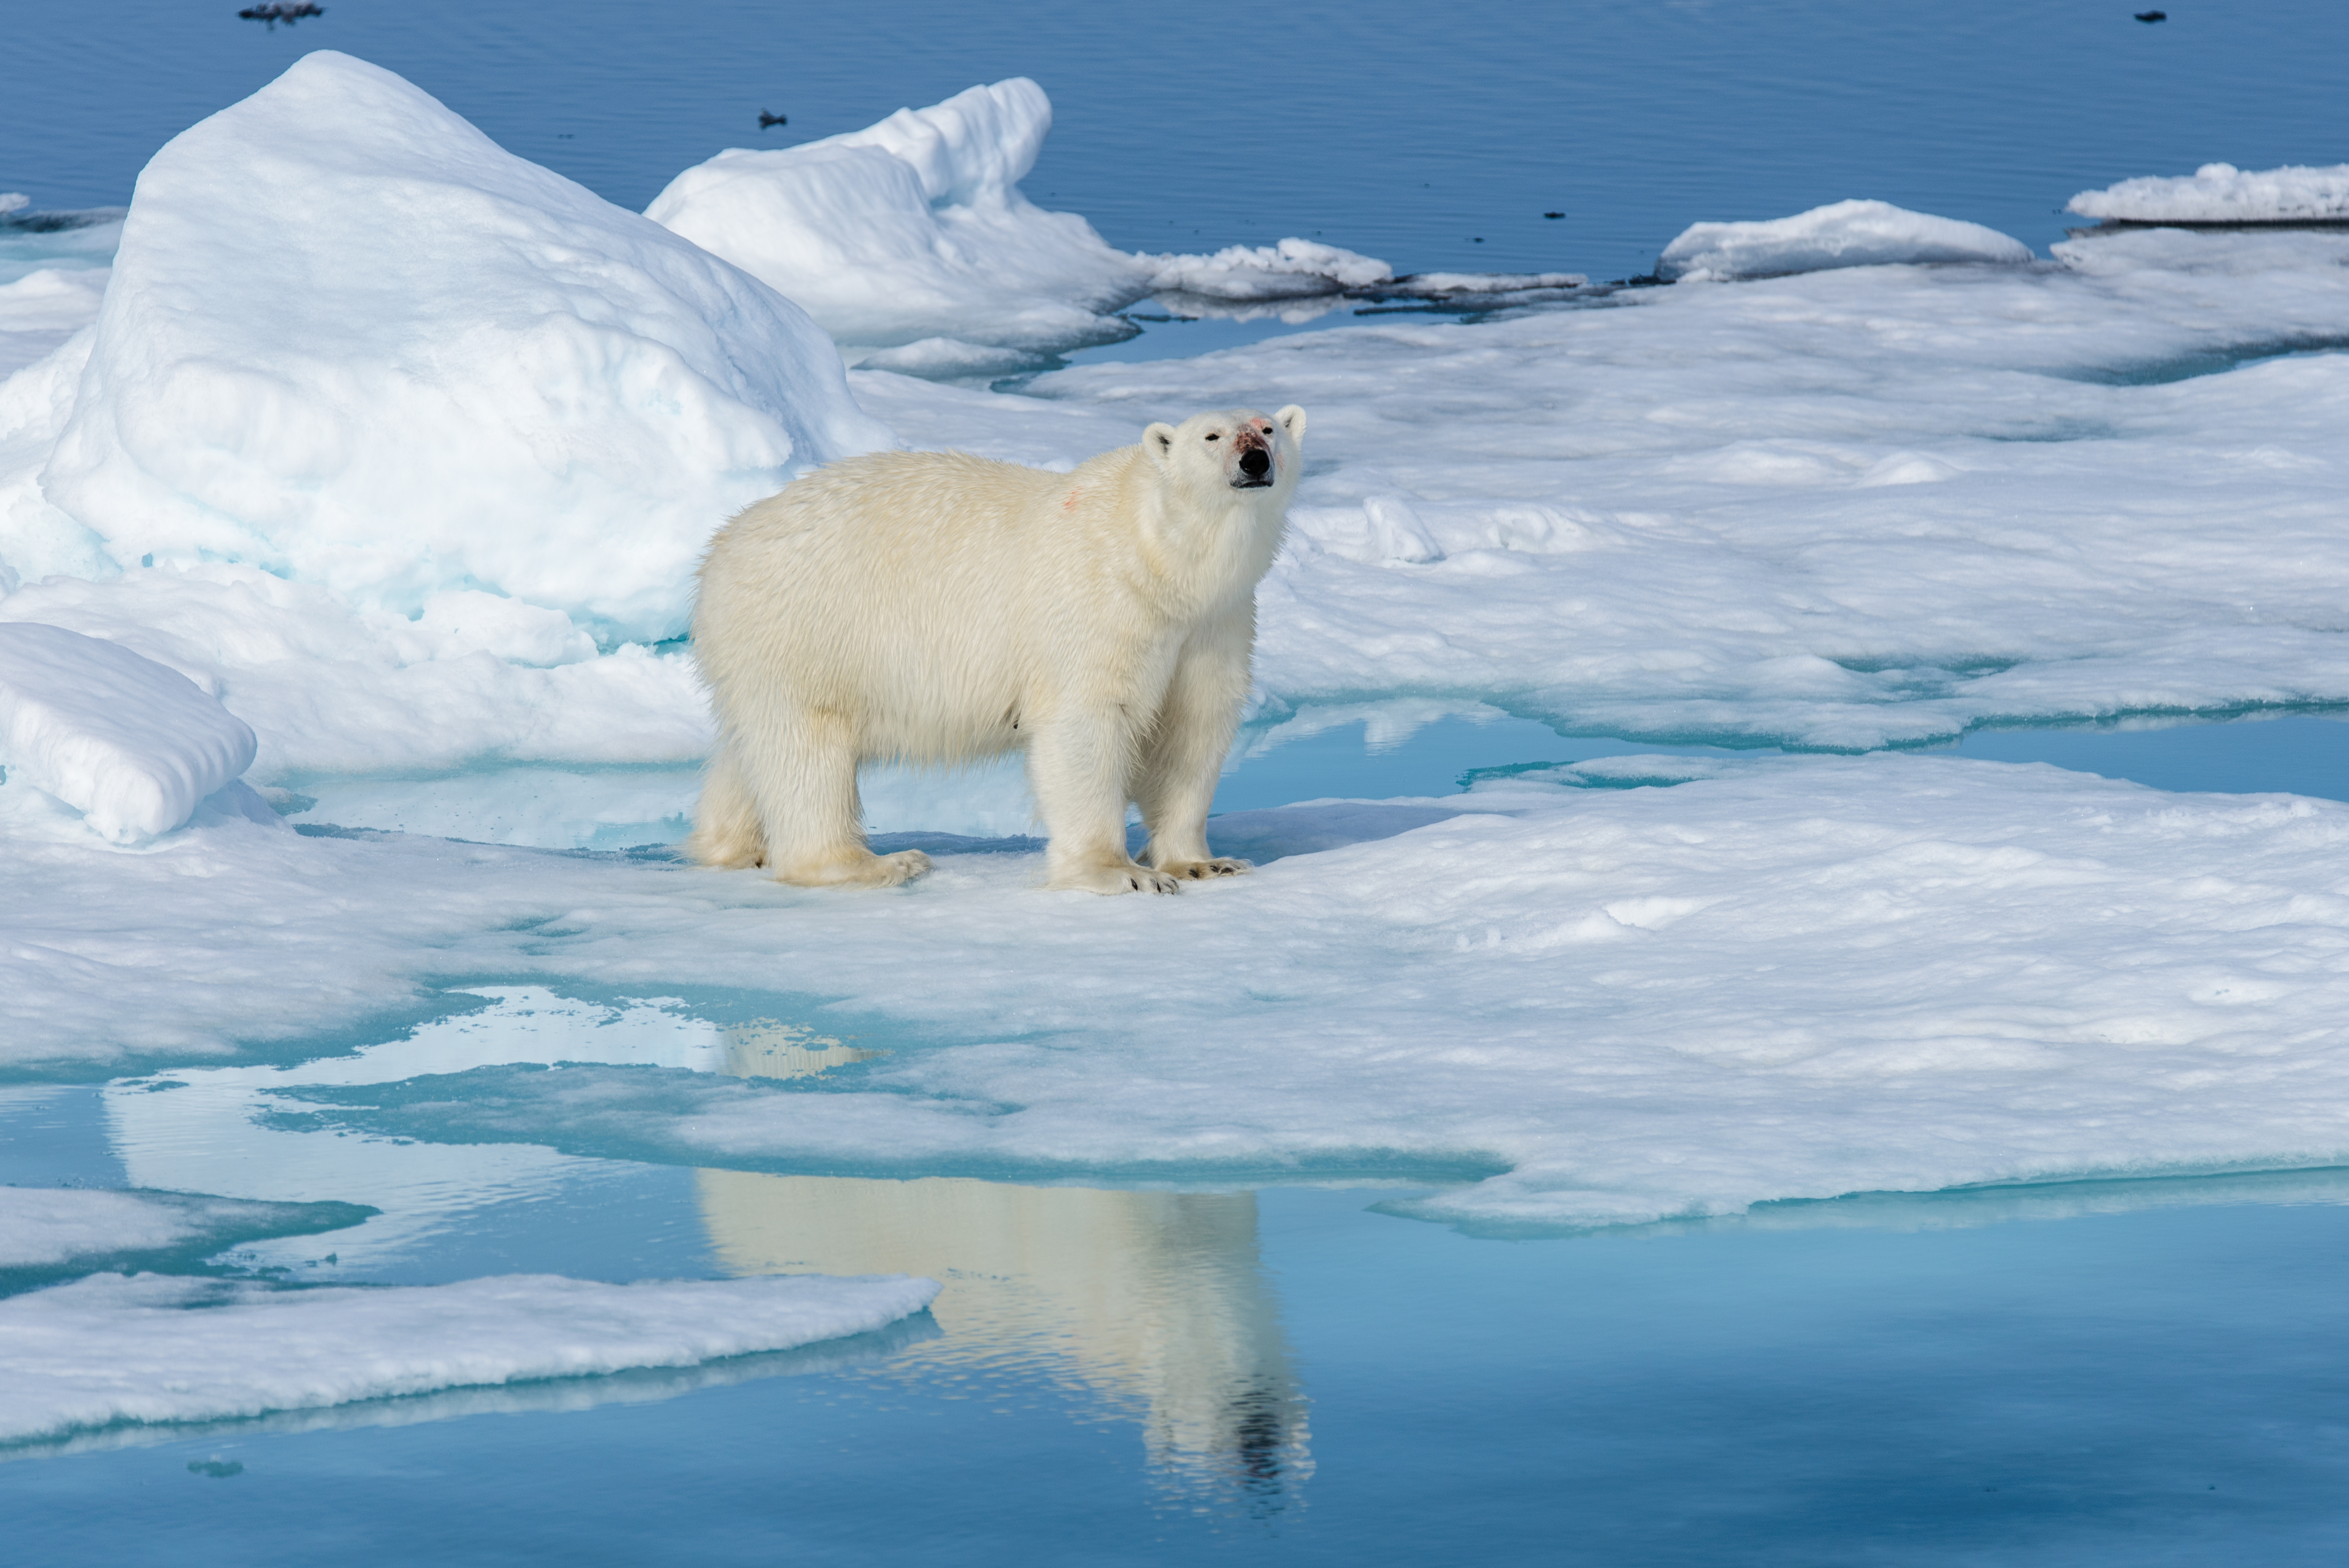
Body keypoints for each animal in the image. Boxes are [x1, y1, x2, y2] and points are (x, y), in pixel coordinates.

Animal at [686, 404, 1306, 892]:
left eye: (1268, 428)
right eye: (1212, 436)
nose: (1255, 461)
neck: (1160, 562)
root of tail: (721, 547)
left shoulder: (1214, 624)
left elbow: (1191, 728)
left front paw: (1203, 864)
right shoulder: (1098, 607)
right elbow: (1088, 722)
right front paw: (1120, 874)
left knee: (751, 745)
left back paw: (734, 846)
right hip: (809, 626)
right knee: (807, 745)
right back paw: (876, 864)